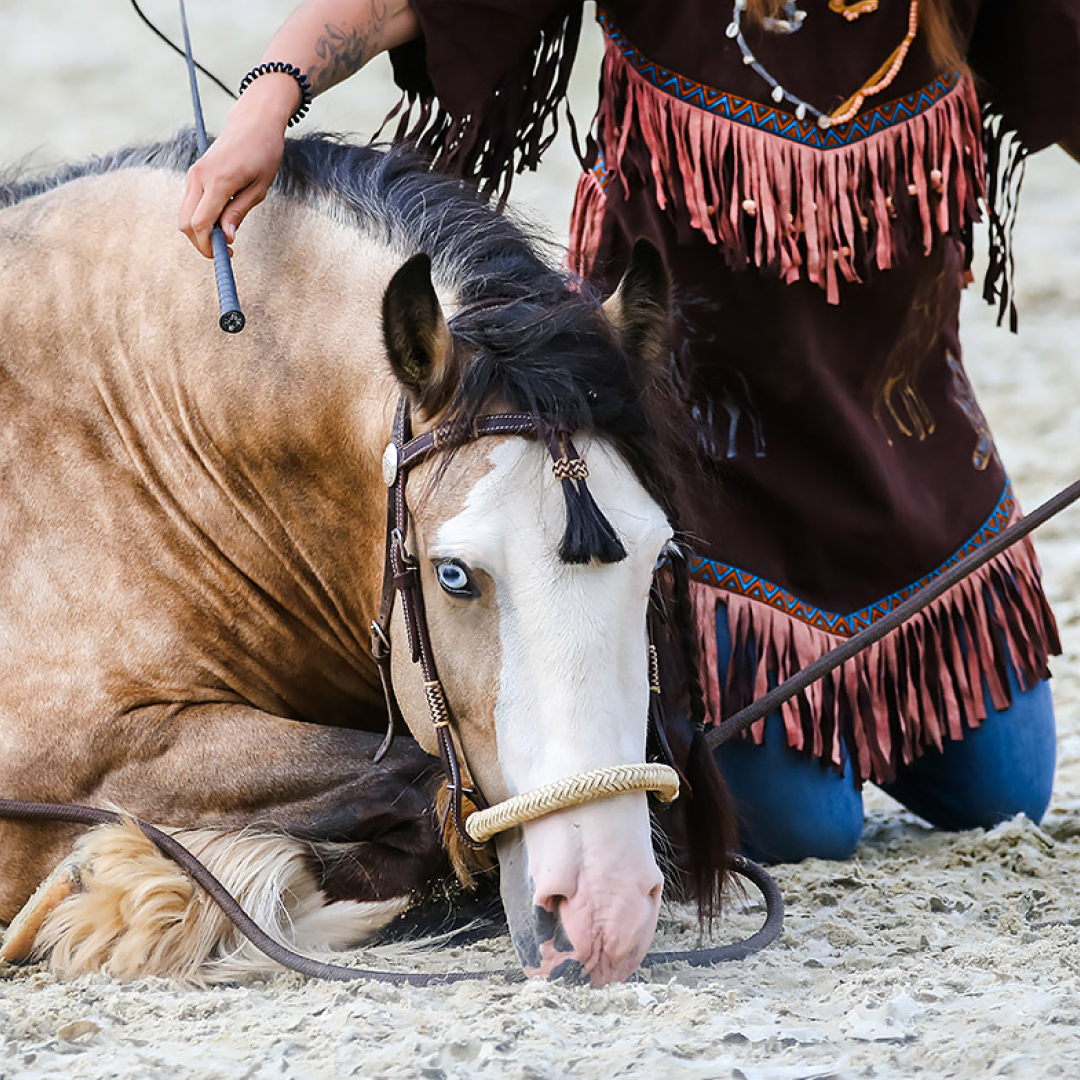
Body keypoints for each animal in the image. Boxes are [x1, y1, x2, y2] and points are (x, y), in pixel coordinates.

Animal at [0, 130, 734, 984]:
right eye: (453, 575)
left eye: (658, 559)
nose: (605, 912)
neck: (133, 435)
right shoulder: (86, 757)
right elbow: (410, 777)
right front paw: (135, 889)